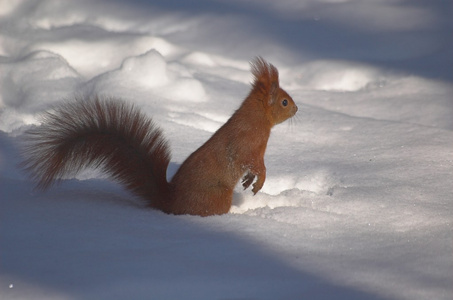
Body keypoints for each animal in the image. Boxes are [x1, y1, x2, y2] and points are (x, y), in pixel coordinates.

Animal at [21, 56, 298, 216]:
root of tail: (170, 202)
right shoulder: (248, 145)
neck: (258, 119)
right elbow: (255, 164)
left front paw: (249, 182)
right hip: (216, 196)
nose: (297, 109)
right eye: (284, 102)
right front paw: (259, 182)